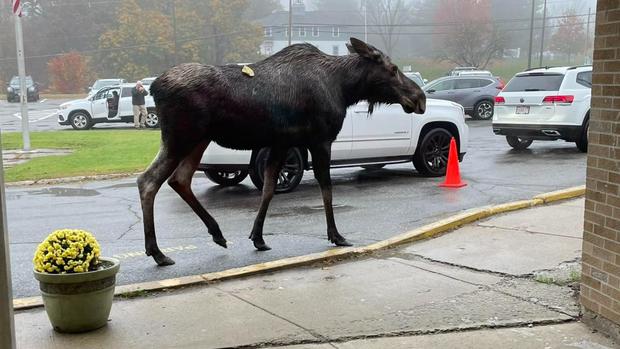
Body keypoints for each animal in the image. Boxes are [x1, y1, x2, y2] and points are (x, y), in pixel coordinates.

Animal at [137, 37, 426, 264]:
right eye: (393, 68)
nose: (420, 98)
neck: (344, 89)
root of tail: (153, 87)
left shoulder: (282, 142)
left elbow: (268, 189)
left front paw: (258, 237)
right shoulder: (320, 140)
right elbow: (326, 187)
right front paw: (336, 235)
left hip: (198, 140)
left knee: (179, 179)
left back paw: (216, 234)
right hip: (181, 138)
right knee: (148, 181)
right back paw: (157, 252)